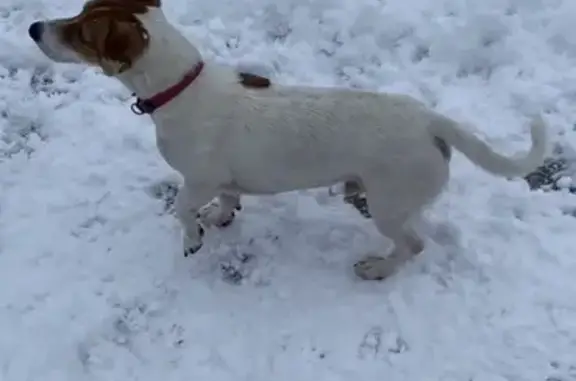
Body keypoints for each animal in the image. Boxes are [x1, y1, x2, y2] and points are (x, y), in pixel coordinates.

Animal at [28, 0, 548, 280]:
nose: (33, 27)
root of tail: (431, 120)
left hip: (388, 205)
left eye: (81, 33)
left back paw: (379, 268)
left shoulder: (197, 180)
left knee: (413, 245)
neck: (181, 84)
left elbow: (181, 208)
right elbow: (227, 199)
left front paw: (193, 236)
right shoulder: (222, 180)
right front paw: (220, 217)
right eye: (80, 11)